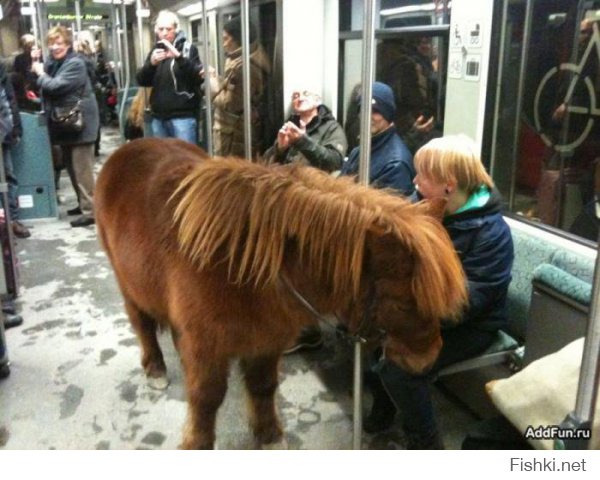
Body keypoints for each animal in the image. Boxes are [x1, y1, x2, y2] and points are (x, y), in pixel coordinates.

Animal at [95, 137, 468, 448]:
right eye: (403, 303)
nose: (428, 358)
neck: (242, 265)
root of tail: (129, 149)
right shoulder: (207, 347)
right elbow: (206, 399)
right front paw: (197, 444)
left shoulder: (266, 341)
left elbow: (263, 388)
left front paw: (269, 437)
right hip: (128, 285)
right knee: (142, 324)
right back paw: (155, 368)